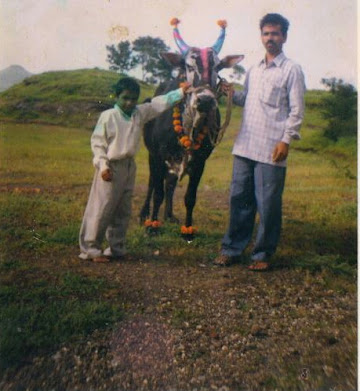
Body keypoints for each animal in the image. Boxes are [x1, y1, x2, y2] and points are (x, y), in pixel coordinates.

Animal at [139, 19, 243, 242]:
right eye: (188, 65)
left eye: (218, 66)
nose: (205, 100)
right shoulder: (158, 156)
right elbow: (157, 193)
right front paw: (152, 227)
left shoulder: (200, 162)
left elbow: (189, 197)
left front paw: (187, 230)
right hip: (152, 156)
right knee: (153, 184)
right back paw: (144, 215)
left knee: (170, 185)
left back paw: (169, 216)